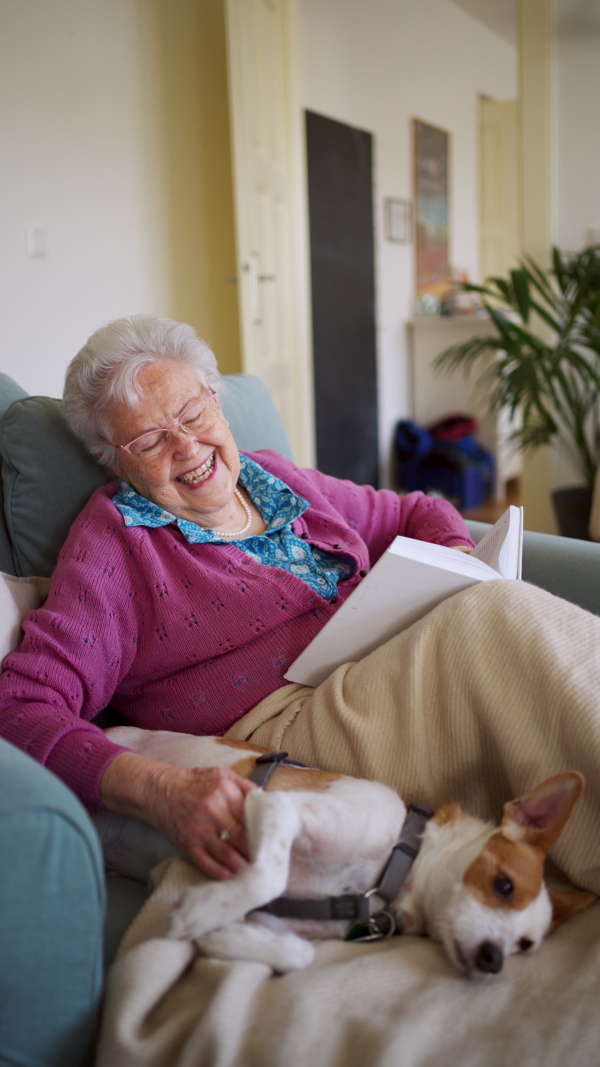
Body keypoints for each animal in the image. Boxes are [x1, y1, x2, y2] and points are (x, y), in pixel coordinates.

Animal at [93, 729, 593, 977]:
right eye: (503, 885)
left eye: (526, 946)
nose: (495, 960)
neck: (393, 869)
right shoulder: (279, 806)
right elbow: (267, 876)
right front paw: (201, 914)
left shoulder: (282, 918)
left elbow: (299, 954)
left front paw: (217, 935)